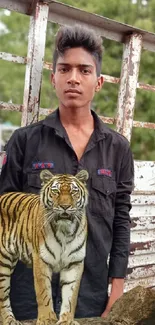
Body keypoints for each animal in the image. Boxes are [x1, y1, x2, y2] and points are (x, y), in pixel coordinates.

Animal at [0, 170, 88, 324]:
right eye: (55, 191)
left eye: (73, 192)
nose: (65, 206)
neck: (65, 231)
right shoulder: (41, 260)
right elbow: (43, 293)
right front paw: (47, 319)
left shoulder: (74, 262)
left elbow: (71, 296)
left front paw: (67, 320)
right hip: (3, 263)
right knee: (2, 296)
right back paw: (9, 320)